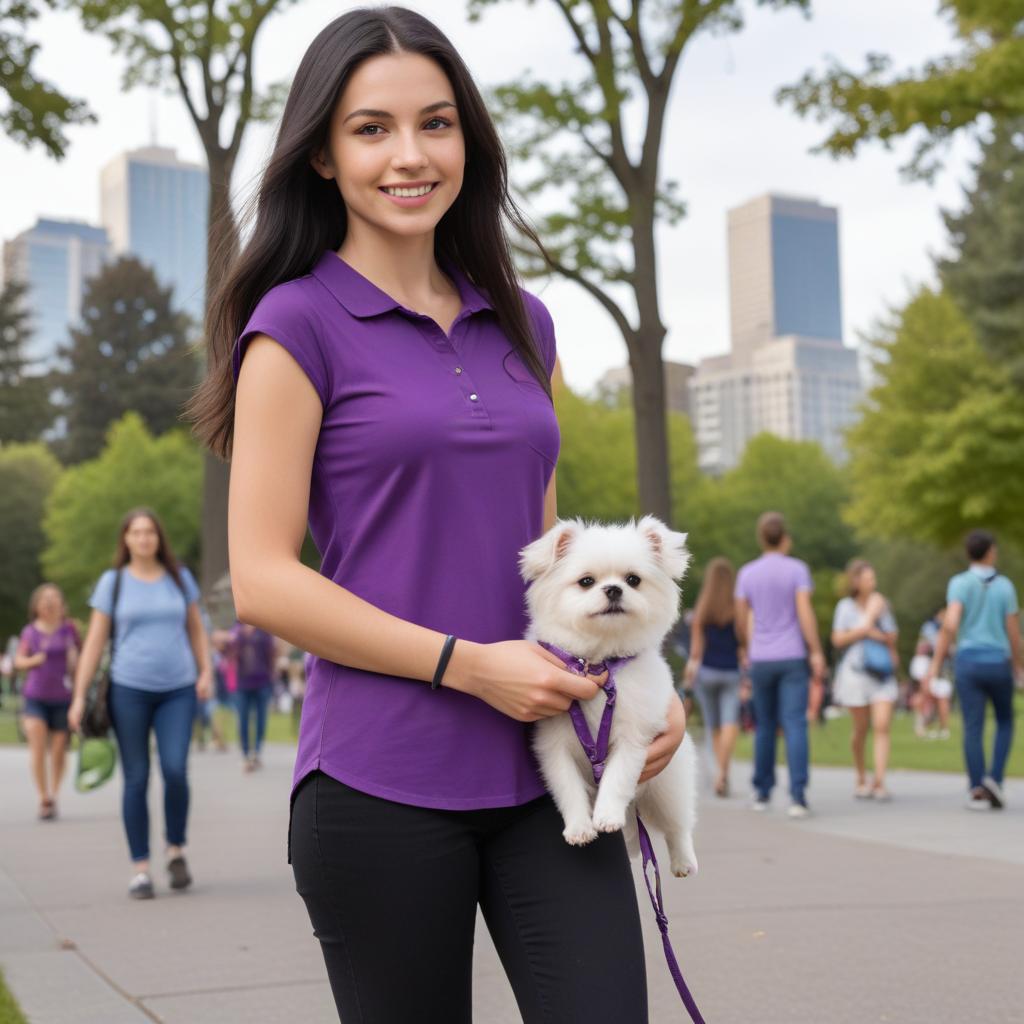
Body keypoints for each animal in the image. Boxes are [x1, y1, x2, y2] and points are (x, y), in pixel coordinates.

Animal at [520, 516, 696, 876]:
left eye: (633, 580)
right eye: (586, 582)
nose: (613, 589)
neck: (597, 665)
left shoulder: (634, 739)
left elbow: (617, 778)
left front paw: (607, 816)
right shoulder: (552, 745)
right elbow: (568, 786)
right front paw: (579, 827)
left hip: (667, 785)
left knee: (679, 824)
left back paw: (683, 860)